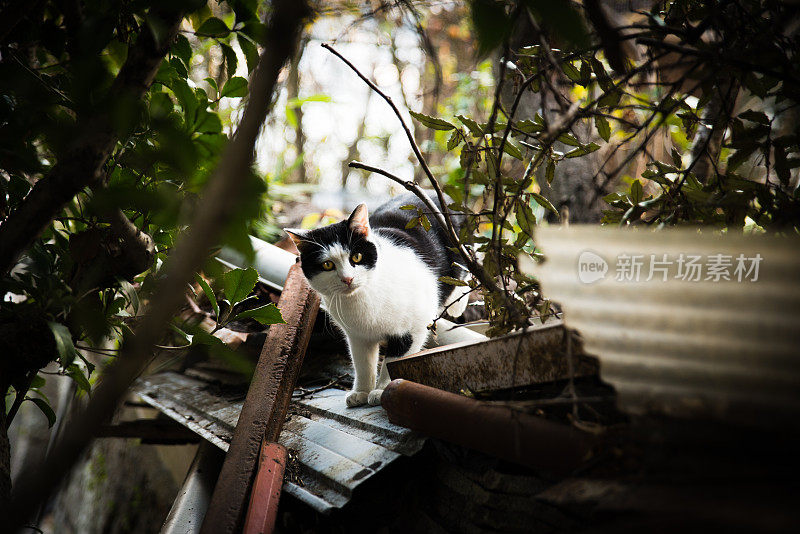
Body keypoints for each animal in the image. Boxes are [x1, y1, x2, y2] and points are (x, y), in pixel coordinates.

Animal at [286, 195, 468, 408]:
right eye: (327, 265)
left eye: (356, 257)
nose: (347, 279)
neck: (363, 300)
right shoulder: (357, 336)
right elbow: (362, 363)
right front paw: (362, 391)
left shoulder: (413, 328)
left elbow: (394, 361)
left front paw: (382, 390)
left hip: (457, 245)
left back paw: (457, 304)